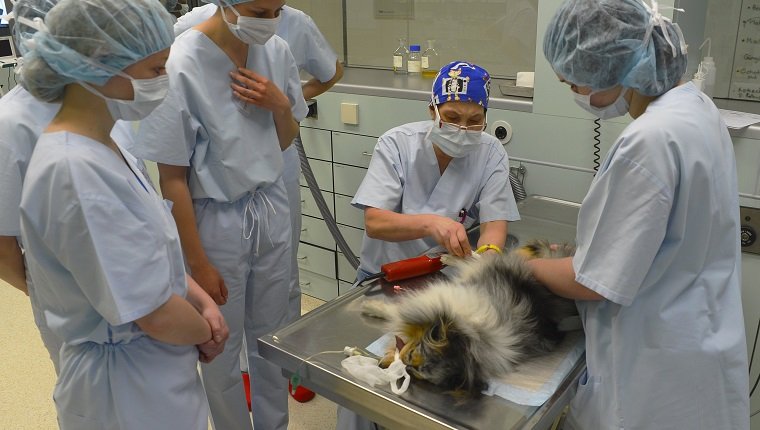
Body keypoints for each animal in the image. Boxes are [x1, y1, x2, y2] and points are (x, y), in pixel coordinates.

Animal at [360, 240, 580, 398]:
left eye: (414, 372)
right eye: (412, 355)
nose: (404, 366)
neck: (468, 334)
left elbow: (396, 317)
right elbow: (393, 311)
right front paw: (371, 307)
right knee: (474, 260)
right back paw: (450, 257)